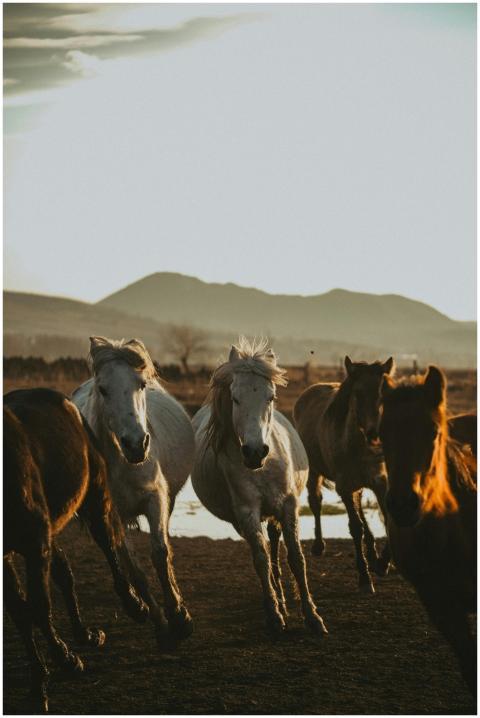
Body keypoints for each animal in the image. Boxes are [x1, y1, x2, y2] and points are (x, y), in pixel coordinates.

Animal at [4, 388, 149, 713]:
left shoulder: (35, 542)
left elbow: (38, 607)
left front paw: (64, 661)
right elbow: (20, 612)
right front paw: (40, 680)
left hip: (95, 497)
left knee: (108, 546)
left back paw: (134, 606)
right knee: (64, 573)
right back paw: (86, 634)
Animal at [72, 336, 195, 649]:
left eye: (140, 384)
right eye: (103, 389)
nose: (136, 444)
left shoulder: (156, 499)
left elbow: (160, 553)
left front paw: (180, 618)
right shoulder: (110, 515)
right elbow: (135, 570)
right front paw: (162, 625)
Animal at [191, 339, 327, 637]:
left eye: (271, 397)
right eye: (235, 398)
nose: (255, 452)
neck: (263, 467)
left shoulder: (289, 506)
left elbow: (296, 559)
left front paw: (312, 616)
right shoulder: (247, 513)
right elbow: (261, 560)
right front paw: (275, 616)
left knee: (274, 542)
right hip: (242, 520)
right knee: (264, 549)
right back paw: (278, 602)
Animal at [293, 356, 395, 593]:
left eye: (384, 391)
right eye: (358, 392)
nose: (374, 433)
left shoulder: (380, 482)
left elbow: (387, 519)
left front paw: (383, 563)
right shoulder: (345, 486)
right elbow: (355, 528)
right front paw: (365, 578)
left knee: (359, 506)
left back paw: (373, 553)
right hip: (314, 472)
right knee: (316, 502)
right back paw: (319, 545)